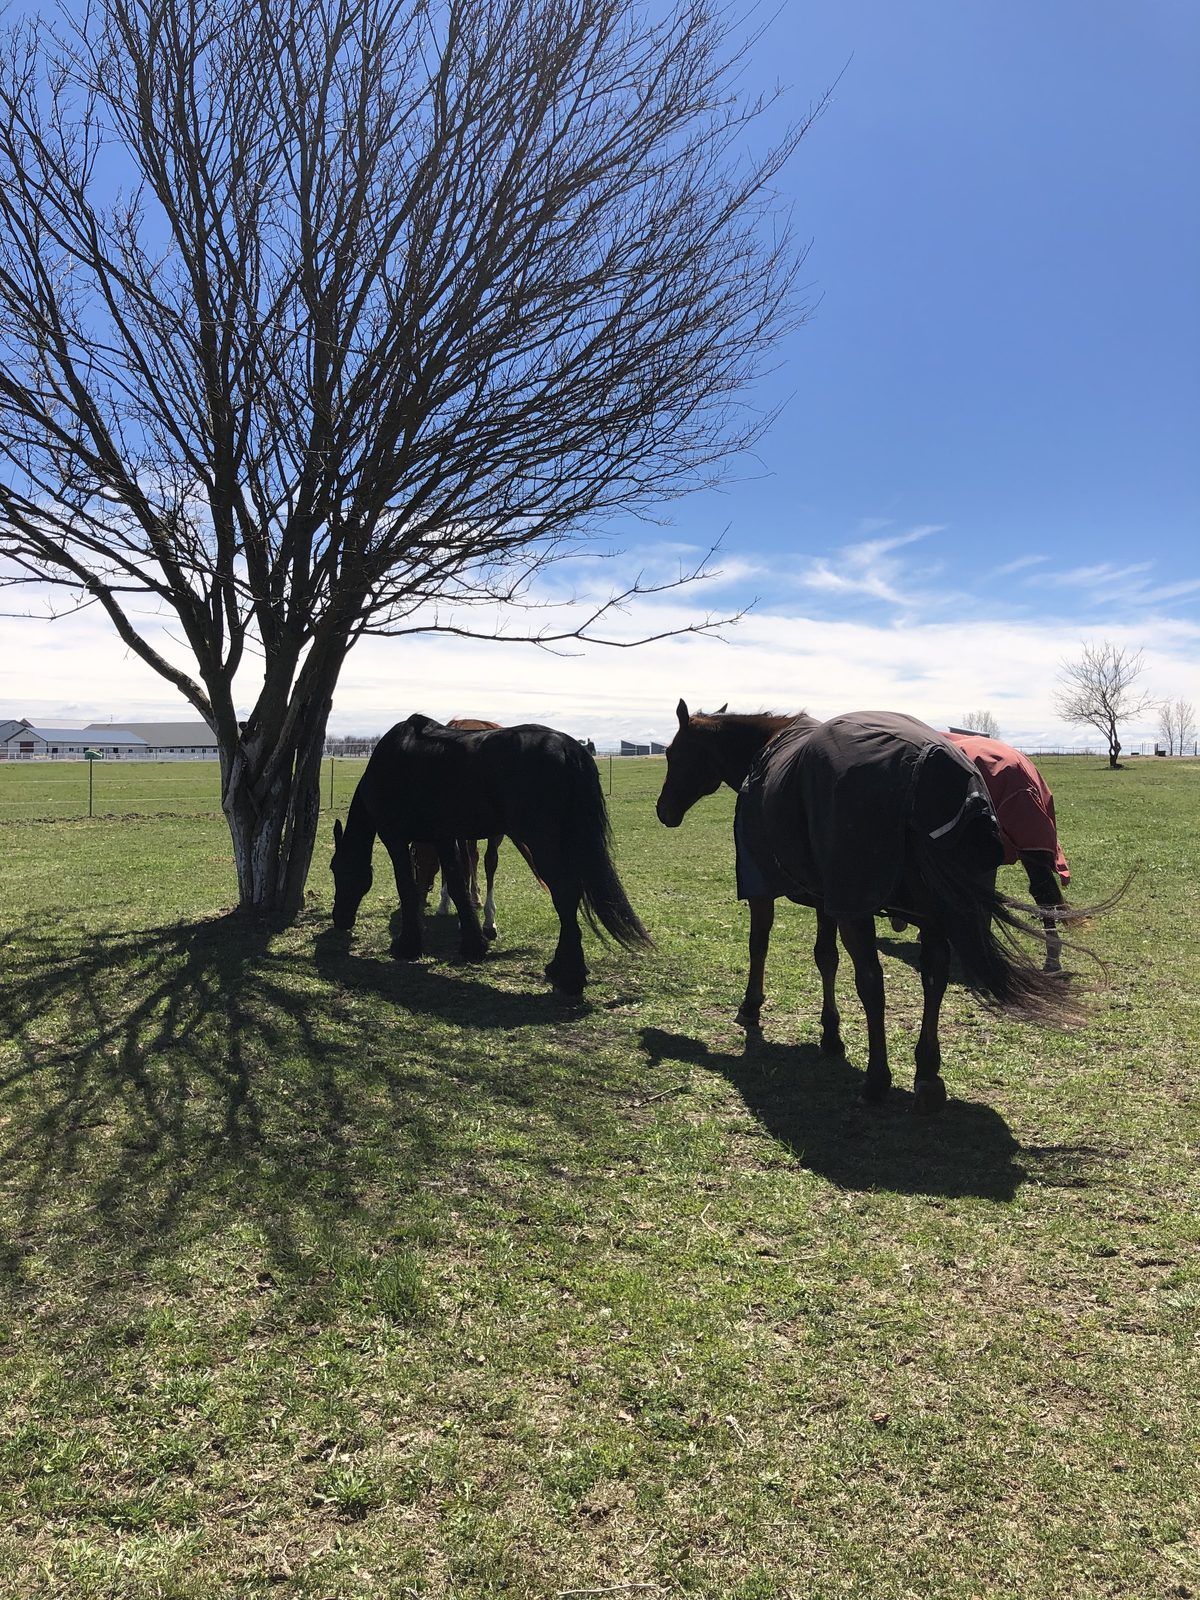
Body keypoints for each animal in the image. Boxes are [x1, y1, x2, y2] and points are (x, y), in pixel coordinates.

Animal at [331, 713, 651, 993]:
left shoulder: (395, 839)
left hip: (543, 844)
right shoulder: (444, 837)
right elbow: (458, 886)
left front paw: (407, 946)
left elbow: (407, 888)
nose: (339, 919)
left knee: (564, 894)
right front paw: (473, 945)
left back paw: (567, 976)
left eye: (336, 869)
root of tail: (568, 747)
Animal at [656, 699, 1081, 1111]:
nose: (663, 810)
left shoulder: (765, 883)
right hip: (935, 910)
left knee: (872, 983)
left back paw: (877, 1080)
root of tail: (933, 764)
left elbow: (759, 944)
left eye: (673, 754)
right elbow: (825, 958)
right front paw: (830, 1034)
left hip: (866, 909)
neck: (762, 754)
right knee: (935, 975)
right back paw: (927, 1073)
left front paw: (751, 1006)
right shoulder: (828, 897)